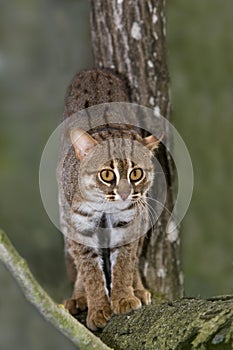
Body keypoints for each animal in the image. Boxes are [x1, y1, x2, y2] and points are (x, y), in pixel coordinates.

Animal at [58, 69, 160, 330]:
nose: (124, 194)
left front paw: (123, 298)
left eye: (136, 173)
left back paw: (139, 290)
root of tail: (94, 70)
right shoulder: (78, 223)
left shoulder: (131, 218)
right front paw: (97, 308)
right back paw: (79, 297)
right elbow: (89, 269)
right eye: (107, 175)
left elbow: (124, 260)